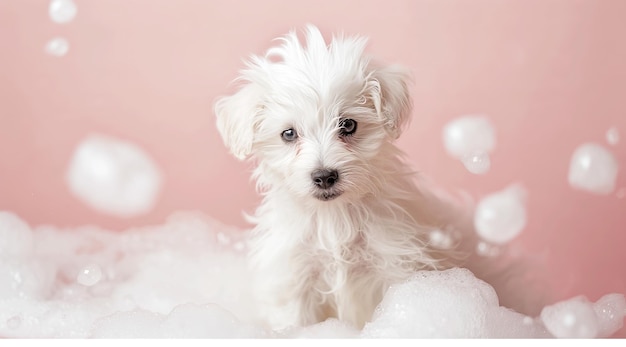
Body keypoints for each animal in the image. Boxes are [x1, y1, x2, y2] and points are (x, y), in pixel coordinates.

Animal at [214, 25, 472, 332]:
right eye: (288, 134)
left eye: (348, 125)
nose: (325, 176)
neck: (333, 217)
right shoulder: (294, 279)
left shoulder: (395, 265)